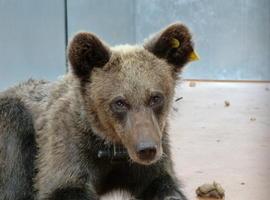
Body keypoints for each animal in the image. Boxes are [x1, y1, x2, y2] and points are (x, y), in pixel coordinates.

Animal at [0, 22, 198, 199]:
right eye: (120, 102)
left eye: (156, 98)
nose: (146, 149)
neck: (112, 147)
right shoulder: (68, 146)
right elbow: (62, 185)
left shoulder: (154, 151)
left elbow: (162, 183)